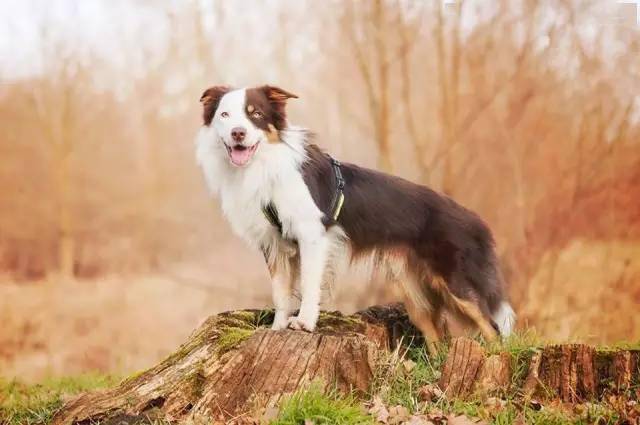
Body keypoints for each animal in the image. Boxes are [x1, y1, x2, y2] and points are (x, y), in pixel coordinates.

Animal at [195, 83, 516, 344]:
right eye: (225, 115)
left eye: (256, 114)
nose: (238, 133)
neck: (266, 165)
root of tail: (477, 222)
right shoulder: (275, 244)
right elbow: (281, 293)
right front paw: (277, 329)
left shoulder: (312, 235)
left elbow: (309, 284)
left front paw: (304, 323)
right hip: (415, 292)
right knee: (436, 336)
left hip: (458, 284)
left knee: (492, 328)